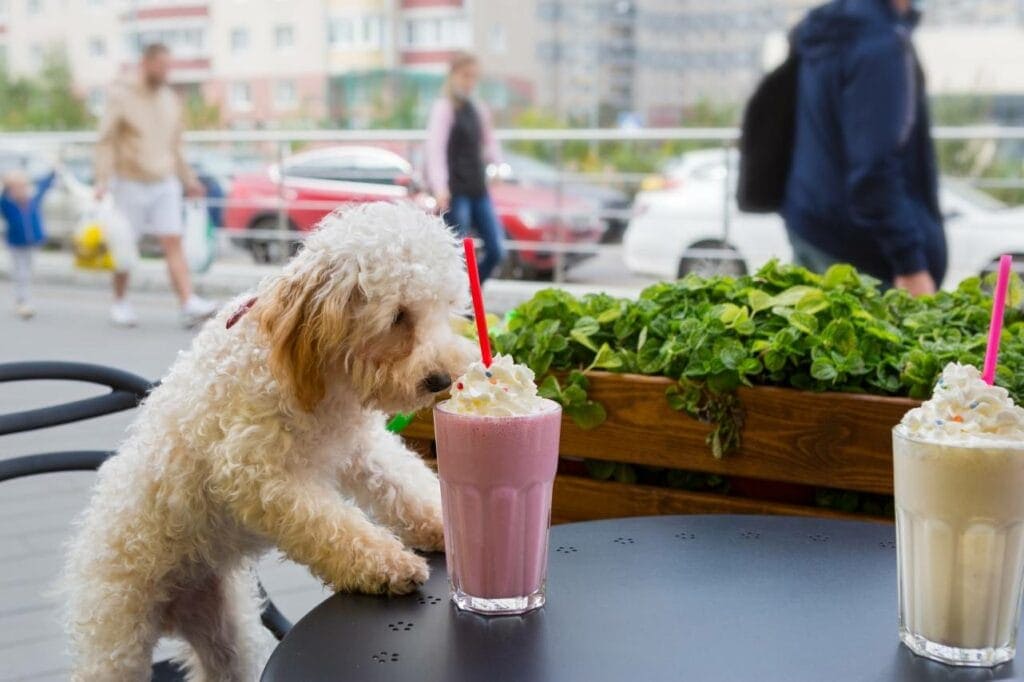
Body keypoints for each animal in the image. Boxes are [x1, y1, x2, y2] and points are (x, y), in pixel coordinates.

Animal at [66, 202, 473, 679]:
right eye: (398, 317)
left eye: (446, 308)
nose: (442, 380)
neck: (309, 371)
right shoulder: (257, 474)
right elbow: (332, 525)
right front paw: (387, 564)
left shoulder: (362, 447)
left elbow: (403, 484)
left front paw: (444, 524)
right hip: (117, 638)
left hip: (226, 633)